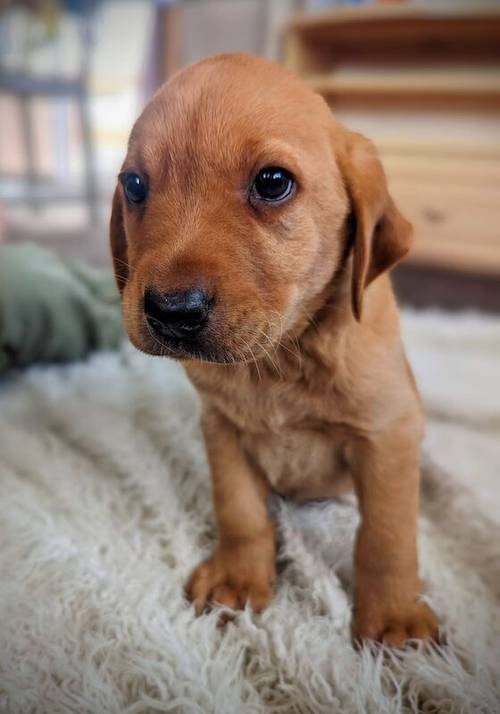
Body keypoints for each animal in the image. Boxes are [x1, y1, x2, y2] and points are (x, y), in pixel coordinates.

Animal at [111, 54, 440, 644]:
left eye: (272, 182)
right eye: (134, 184)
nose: (171, 311)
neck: (282, 355)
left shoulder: (388, 431)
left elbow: (386, 534)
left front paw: (393, 615)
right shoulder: (220, 427)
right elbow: (240, 510)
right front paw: (239, 578)